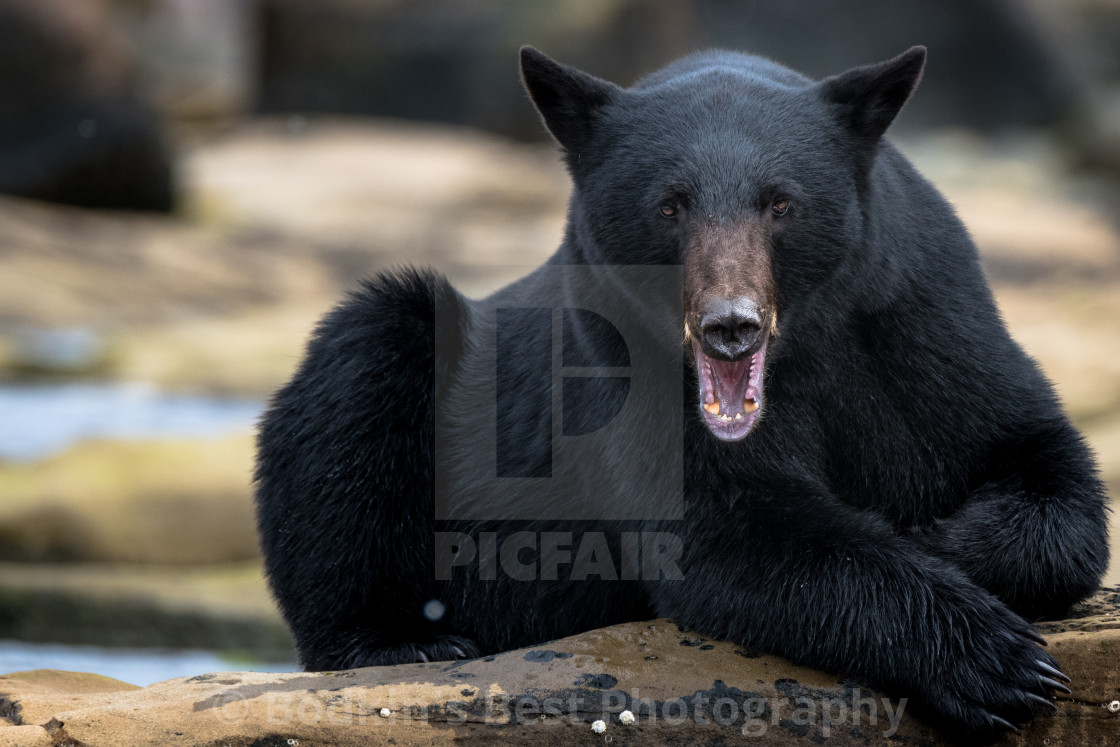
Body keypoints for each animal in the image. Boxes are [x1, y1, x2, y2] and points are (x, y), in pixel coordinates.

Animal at [256, 48, 1111, 743]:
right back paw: (401, 639)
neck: (801, 351)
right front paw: (996, 661)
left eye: (781, 201)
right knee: (363, 370)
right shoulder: (623, 371)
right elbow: (723, 531)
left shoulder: (923, 324)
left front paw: (946, 542)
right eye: (669, 204)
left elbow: (1047, 471)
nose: (730, 324)